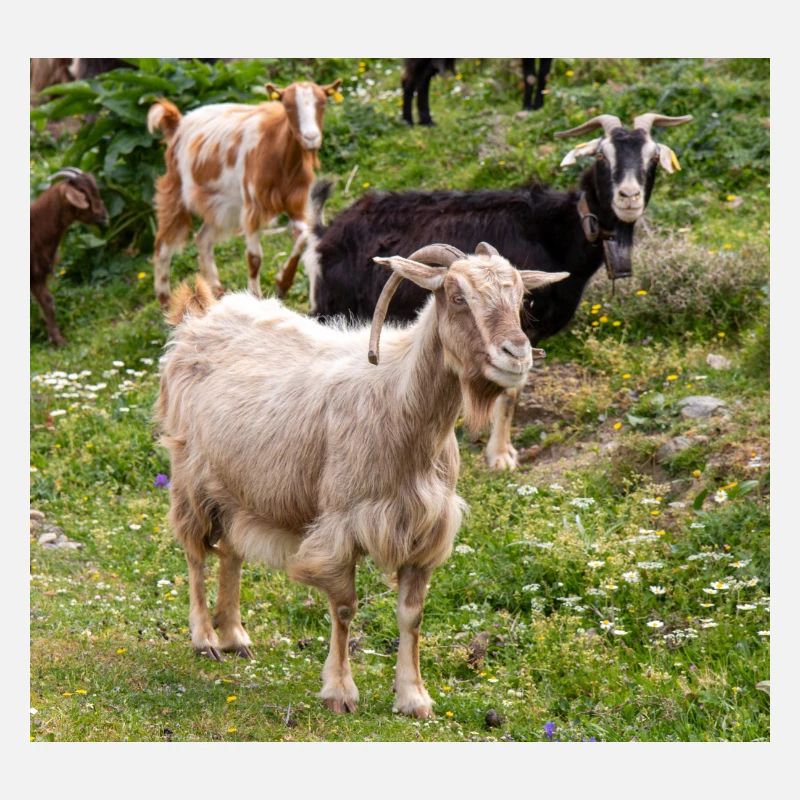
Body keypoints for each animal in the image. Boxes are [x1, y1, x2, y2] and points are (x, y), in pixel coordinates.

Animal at [30, 168, 109, 346]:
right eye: (84, 194)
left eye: (95, 189)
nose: (104, 216)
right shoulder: (34, 274)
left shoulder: (38, 275)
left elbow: (48, 302)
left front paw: (58, 340)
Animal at [147, 78, 342, 307]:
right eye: (287, 105)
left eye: (323, 103)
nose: (311, 138)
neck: (278, 154)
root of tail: (177, 124)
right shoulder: (253, 205)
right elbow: (254, 258)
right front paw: (256, 297)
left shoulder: (296, 202)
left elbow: (303, 237)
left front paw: (282, 283)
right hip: (175, 191)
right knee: (163, 246)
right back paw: (165, 302)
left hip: (221, 206)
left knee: (203, 239)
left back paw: (217, 291)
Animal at [156, 244, 568, 717]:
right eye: (456, 296)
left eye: (521, 297)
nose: (516, 353)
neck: (398, 400)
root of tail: (201, 315)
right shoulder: (342, 524)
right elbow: (344, 608)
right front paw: (340, 691)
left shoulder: (425, 530)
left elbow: (412, 615)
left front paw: (414, 697)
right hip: (190, 474)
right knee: (195, 552)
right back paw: (205, 638)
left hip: (240, 484)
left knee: (230, 551)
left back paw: (234, 635)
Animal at [303, 111, 692, 469]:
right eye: (602, 157)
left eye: (652, 158)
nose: (629, 197)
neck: (557, 230)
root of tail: (326, 233)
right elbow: (508, 391)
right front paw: (500, 455)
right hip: (334, 309)